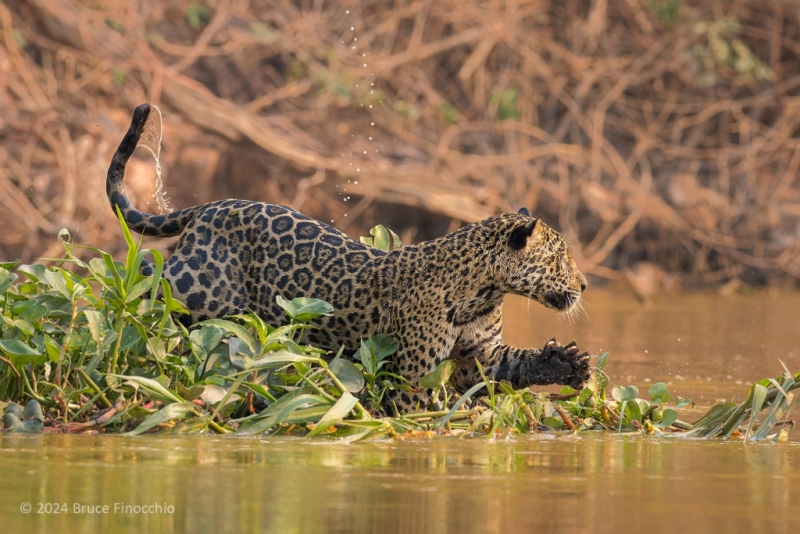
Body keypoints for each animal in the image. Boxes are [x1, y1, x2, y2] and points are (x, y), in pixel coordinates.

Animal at [107, 103, 592, 412]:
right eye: (561, 259)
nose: (585, 284)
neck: (483, 293)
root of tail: (210, 206)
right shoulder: (413, 378)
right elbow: (419, 412)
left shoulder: (482, 357)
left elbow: (515, 362)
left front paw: (566, 362)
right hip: (197, 290)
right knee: (147, 277)